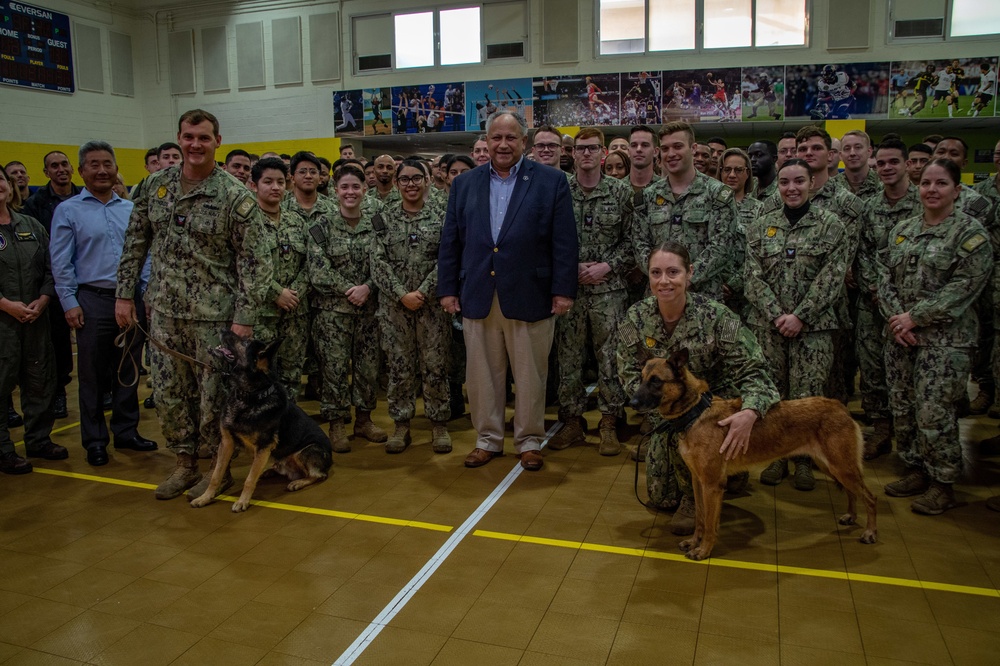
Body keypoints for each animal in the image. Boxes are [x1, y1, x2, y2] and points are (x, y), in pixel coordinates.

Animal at [191, 330, 336, 510]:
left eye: (245, 342)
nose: (223, 329)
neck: (249, 397)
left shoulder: (263, 447)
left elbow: (249, 479)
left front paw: (242, 501)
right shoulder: (226, 443)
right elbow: (216, 475)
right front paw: (205, 497)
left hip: (305, 451)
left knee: (319, 475)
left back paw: (298, 482)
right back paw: (270, 471)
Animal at [632, 350, 876, 556]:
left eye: (656, 381)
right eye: (641, 379)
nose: (632, 401)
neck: (696, 412)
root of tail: (839, 406)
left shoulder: (712, 485)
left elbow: (710, 523)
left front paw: (703, 550)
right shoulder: (697, 481)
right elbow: (700, 518)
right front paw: (694, 542)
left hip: (841, 467)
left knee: (870, 497)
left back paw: (870, 532)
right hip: (833, 467)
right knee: (852, 492)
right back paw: (851, 516)